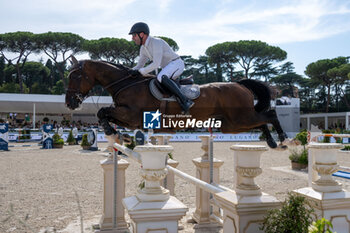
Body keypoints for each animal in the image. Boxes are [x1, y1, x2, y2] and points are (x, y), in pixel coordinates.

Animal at [65, 55, 288, 148]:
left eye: (75, 76)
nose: (69, 103)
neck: (126, 84)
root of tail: (239, 84)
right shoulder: (129, 117)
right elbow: (103, 114)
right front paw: (118, 134)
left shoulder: (131, 115)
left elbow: (102, 111)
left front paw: (112, 132)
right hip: (232, 125)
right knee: (261, 121)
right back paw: (272, 142)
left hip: (240, 118)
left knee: (269, 115)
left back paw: (283, 139)